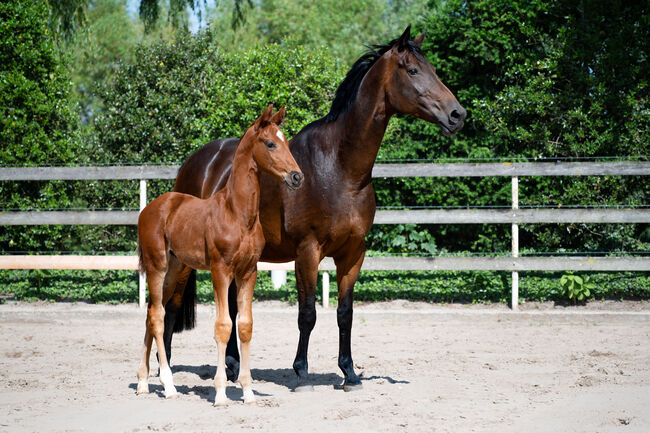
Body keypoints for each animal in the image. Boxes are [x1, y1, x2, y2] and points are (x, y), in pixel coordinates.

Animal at [135, 105, 302, 404]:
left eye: (285, 141)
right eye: (270, 143)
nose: (297, 177)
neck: (238, 213)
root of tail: (150, 209)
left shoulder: (248, 272)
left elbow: (245, 326)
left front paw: (248, 392)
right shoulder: (220, 270)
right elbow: (223, 326)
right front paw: (221, 393)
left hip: (175, 270)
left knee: (153, 312)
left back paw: (143, 382)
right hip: (157, 267)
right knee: (157, 317)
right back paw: (168, 385)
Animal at [162, 25, 466, 390]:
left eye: (432, 68)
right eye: (412, 70)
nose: (458, 115)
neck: (339, 169)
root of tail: (196, 162)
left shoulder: (353, 253)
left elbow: (345, 313)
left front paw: (349, 373)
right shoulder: (307, 251)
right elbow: (307, 312)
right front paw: (301, 372)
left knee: (232, 307)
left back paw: (233, 366)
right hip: (186, 258)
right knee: (171, 304)